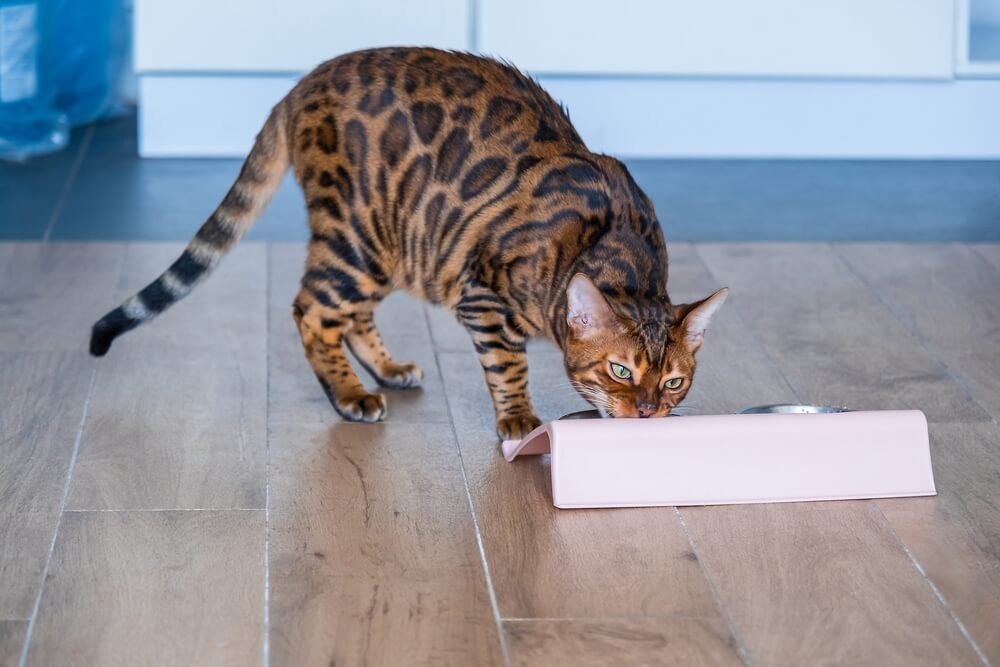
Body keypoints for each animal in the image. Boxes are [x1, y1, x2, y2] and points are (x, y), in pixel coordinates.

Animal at [92, 48, 728, 444]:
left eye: (673, 381)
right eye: (620, 370)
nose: (646, 411)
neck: (616, 247)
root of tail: (300, 84)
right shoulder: (482, 297)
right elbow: (508, 365)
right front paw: (520, 420)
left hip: (396, 244)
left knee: (349, 314)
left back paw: (388, 369)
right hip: (359, 238)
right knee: (311, 310)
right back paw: (350, 394)